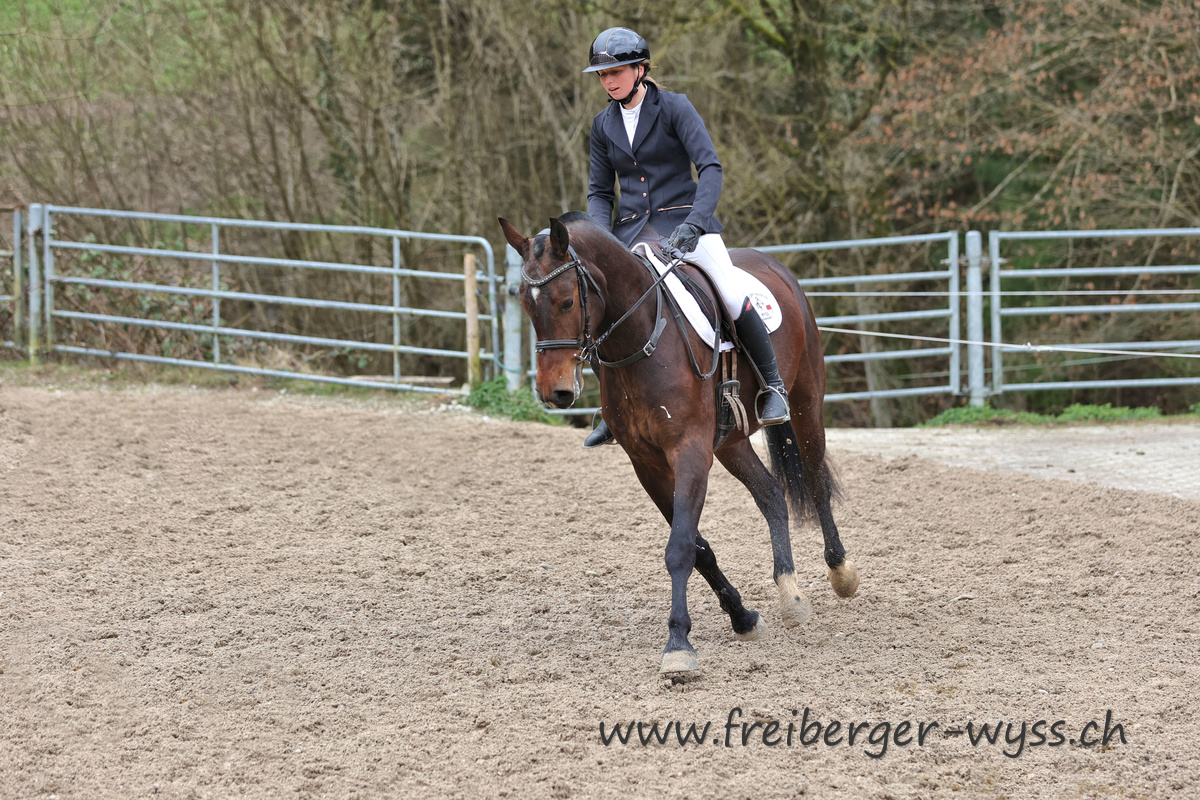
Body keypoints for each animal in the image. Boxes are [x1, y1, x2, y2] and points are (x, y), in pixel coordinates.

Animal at [498, 212, 859, 678]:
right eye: (526, 303)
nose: (554, 393)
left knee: (814, 479)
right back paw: (790, 594)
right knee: (770, 494)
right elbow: (698, 547)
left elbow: (680, 547)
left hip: (806, 402)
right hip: (729, 441)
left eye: (565, 302)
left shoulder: (689, 452)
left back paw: (841, 573)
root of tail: (774, 265)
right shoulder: (648, 464)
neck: (639, 342)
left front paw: (678, 645)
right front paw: (742, 617)